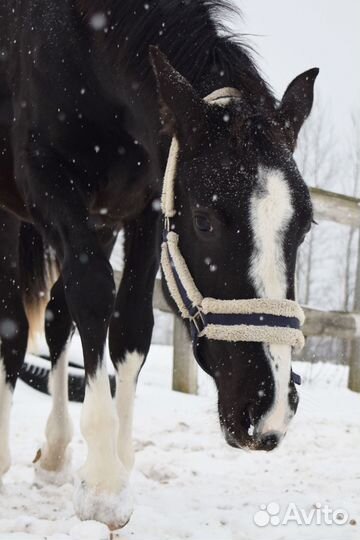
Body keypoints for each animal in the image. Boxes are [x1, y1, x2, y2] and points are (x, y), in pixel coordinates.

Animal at [0, 0, 316, 528]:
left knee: (59, 318)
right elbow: (92, 300)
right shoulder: (50, 187)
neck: (84, 38)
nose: (268, 413)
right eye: (205, 221)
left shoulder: (145, 207)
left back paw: (58, 453)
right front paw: (103, 485)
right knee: (17, 327)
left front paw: (118, 460)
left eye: (306, 226)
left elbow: (130, 324)